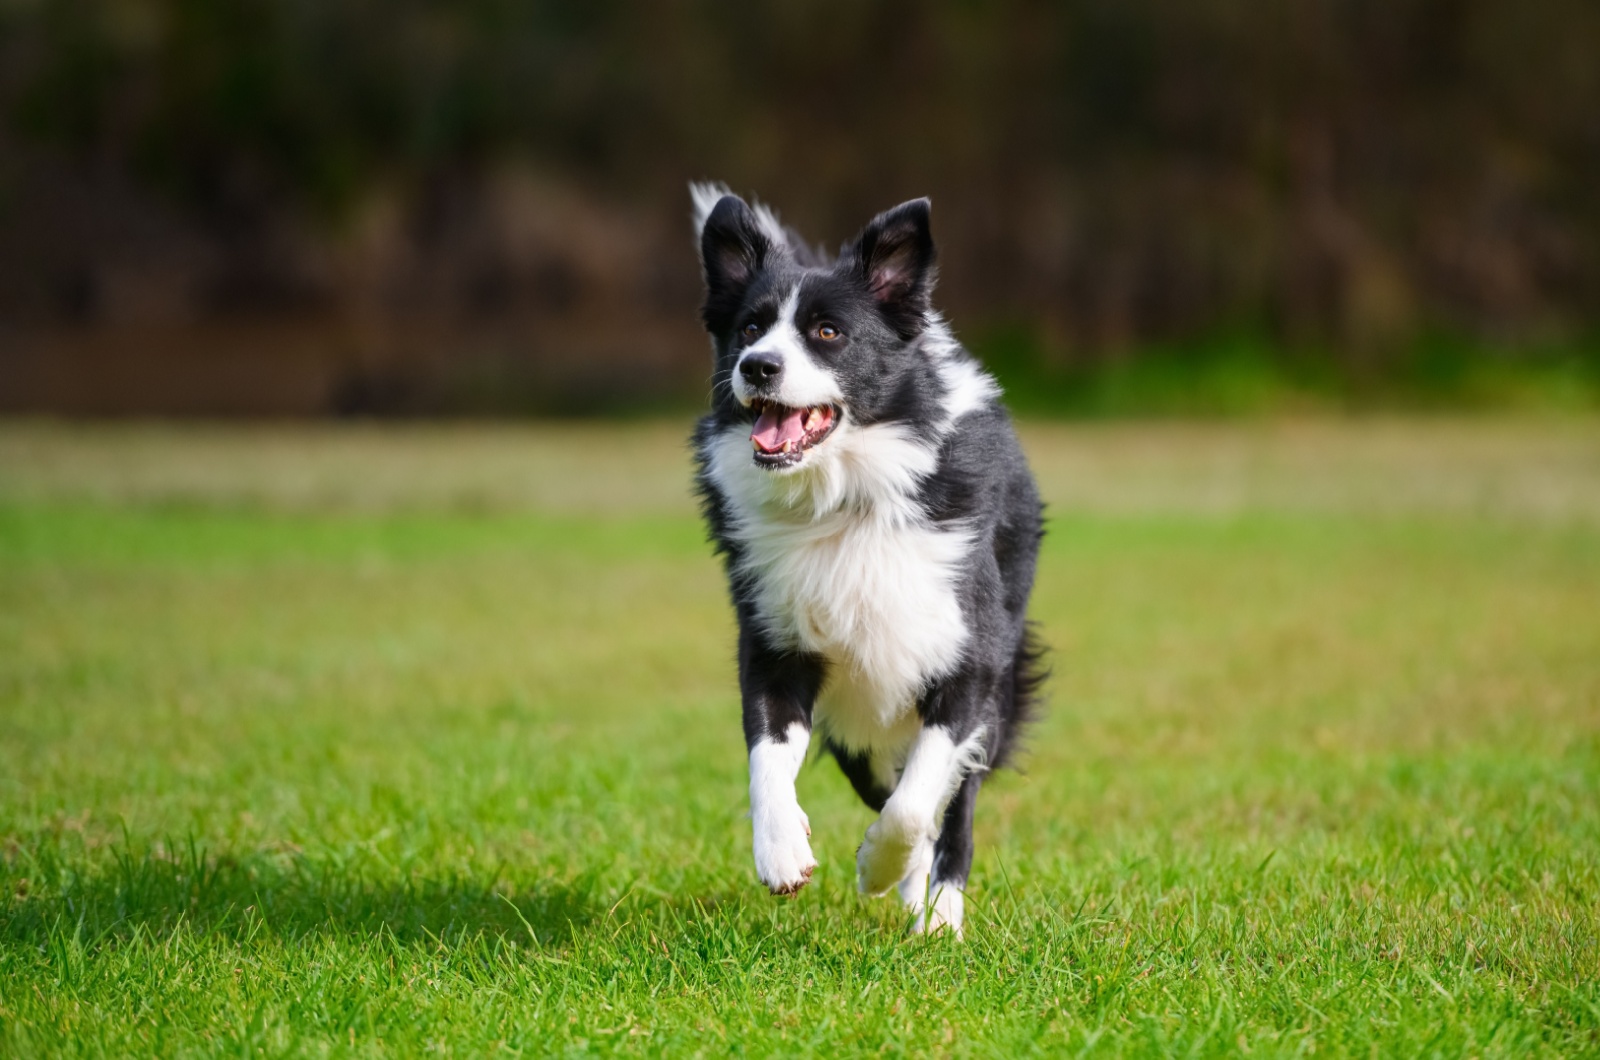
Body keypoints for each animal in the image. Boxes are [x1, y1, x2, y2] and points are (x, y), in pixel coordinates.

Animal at [691, 184, 1043, 941]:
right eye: (749, 327)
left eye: (827, 333)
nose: (757, 366)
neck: (842, 497)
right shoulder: (775, 641)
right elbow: (767, 755)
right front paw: (782, 850)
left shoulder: (968, 660)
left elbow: (917, 803)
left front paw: (879, 870)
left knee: (951, 810)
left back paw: (938, 915)